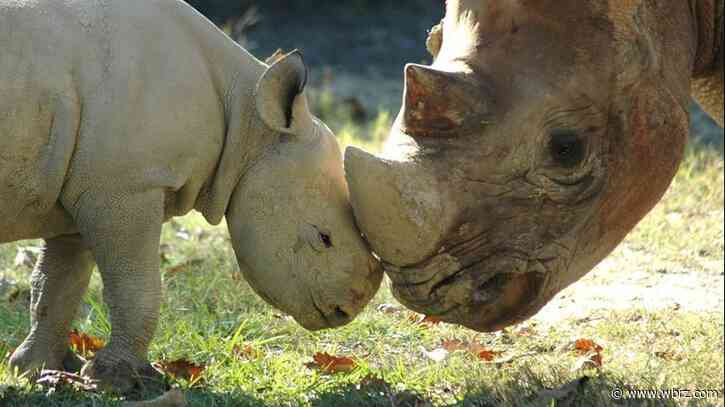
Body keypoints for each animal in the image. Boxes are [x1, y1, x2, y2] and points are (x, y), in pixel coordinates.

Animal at [1, 0, 382, 393]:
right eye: (323, 238)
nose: (350, 308)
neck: (246, 121)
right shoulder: (127, 187)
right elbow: (136, 289)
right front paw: (120, 381)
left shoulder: (84, 189)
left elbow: (56, 284)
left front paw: (37, 370)